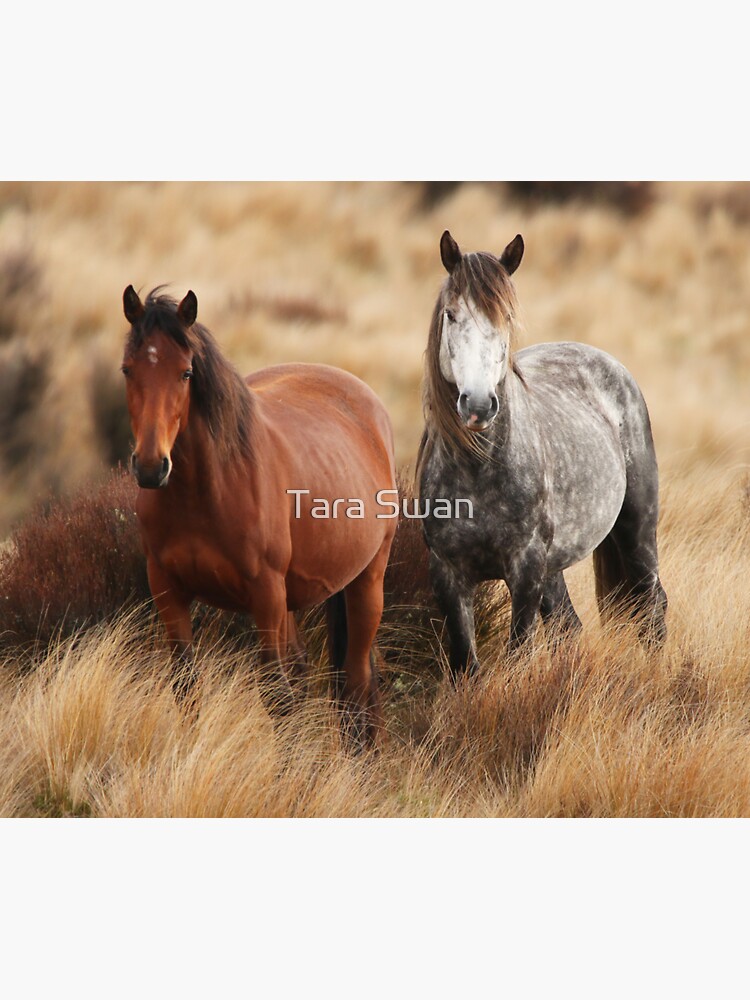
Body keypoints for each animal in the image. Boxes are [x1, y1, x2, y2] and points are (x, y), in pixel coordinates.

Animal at [121, 285, 397, 744]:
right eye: (128, 370)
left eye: (186, 373)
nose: (150, 466)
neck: (206, 494)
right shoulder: (166, 589)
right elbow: (185, 685)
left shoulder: (264, 594)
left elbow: (275, 693)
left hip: (365, 582)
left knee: (356, 681)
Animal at [417, 231, 667, 678]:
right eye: (451, 314)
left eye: (506, 318)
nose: (477, 405)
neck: (478, 473)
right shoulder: (447, 574)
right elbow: (467, 665)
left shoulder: (526, 569)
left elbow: (519, 651)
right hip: (557, 565)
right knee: (570, 626)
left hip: (637, 530)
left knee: (652, 607)